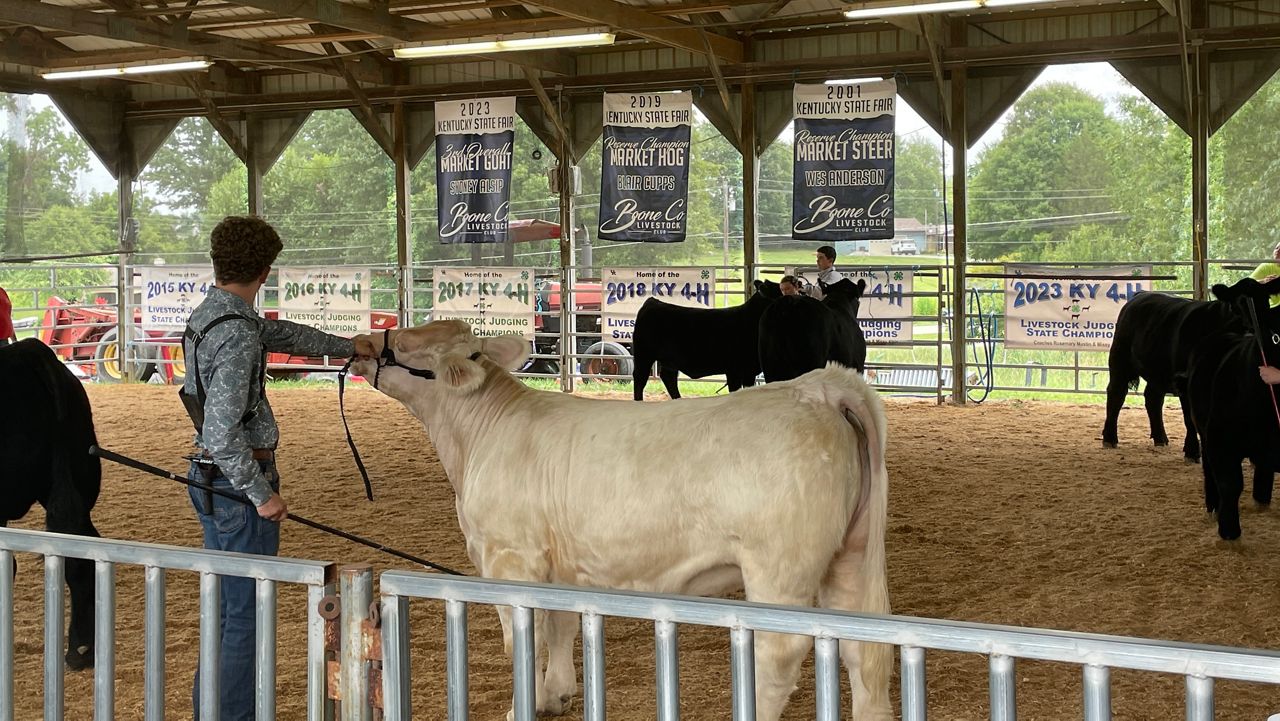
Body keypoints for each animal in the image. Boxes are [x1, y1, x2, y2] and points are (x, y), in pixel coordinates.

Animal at [627, 279, 778, 399]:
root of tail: (653, 302)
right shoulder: (733, 370)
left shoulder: (749, 371)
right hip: (644, 355)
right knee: (640, 379)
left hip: (669, 360)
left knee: (668, 377)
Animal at [1100, 285, 1249, 461]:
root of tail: (1140, 295)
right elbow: (1189, 420)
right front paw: (1192, 452)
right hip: (1120, 360)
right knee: (1116, 394)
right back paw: (1110, 438)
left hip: (1157, 371)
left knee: (1153, 398)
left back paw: (1160, 438)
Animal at [1182, 279, 1280, 537]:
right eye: (1235, 304)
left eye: (1266, 299)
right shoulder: (1219, 441)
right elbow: (1230, 484)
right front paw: (1229, 529)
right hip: (1204, 432)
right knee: (1209, 470)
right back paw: (1212, 506)